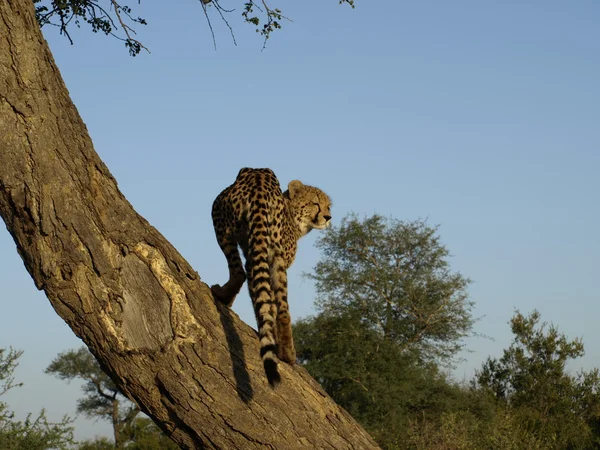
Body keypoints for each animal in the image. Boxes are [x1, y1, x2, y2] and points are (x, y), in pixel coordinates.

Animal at [211, 167, 332, 384]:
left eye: (328, 205)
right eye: (315, 203)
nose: (328, 217)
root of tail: (258, 179)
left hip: (222, 222)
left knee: (240, 274)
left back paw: (223, 297)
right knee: (281, 306)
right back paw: (287, 353)